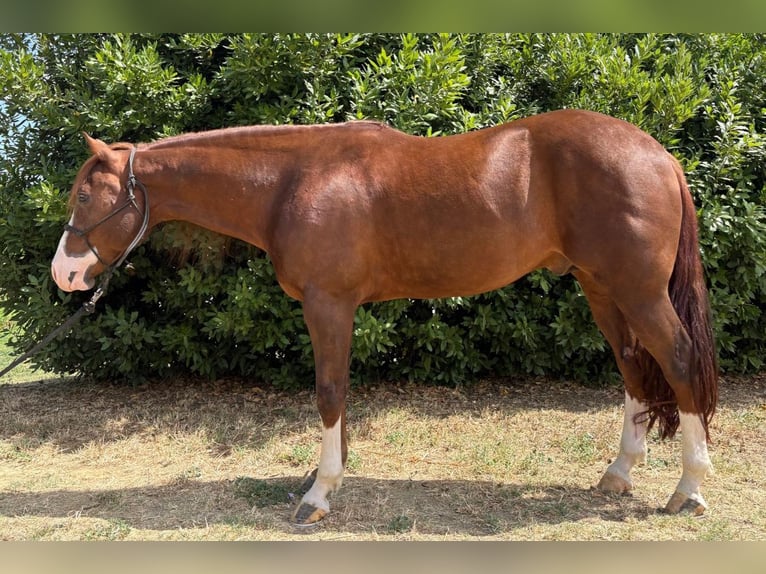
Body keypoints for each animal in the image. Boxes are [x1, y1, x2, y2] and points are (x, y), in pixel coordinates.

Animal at [51, 109, 718, 525]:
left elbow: (328, 392)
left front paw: (318, 496)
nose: (64, 274)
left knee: (678, 359)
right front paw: (330, 477)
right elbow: (340, 395)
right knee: (633, 367)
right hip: (603, 290)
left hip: (638, 292)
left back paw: (688, 488)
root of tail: (659, 154)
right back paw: (620, 473)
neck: (293, 181)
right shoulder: (334, 309)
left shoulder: (327, 303)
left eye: (84, 195)